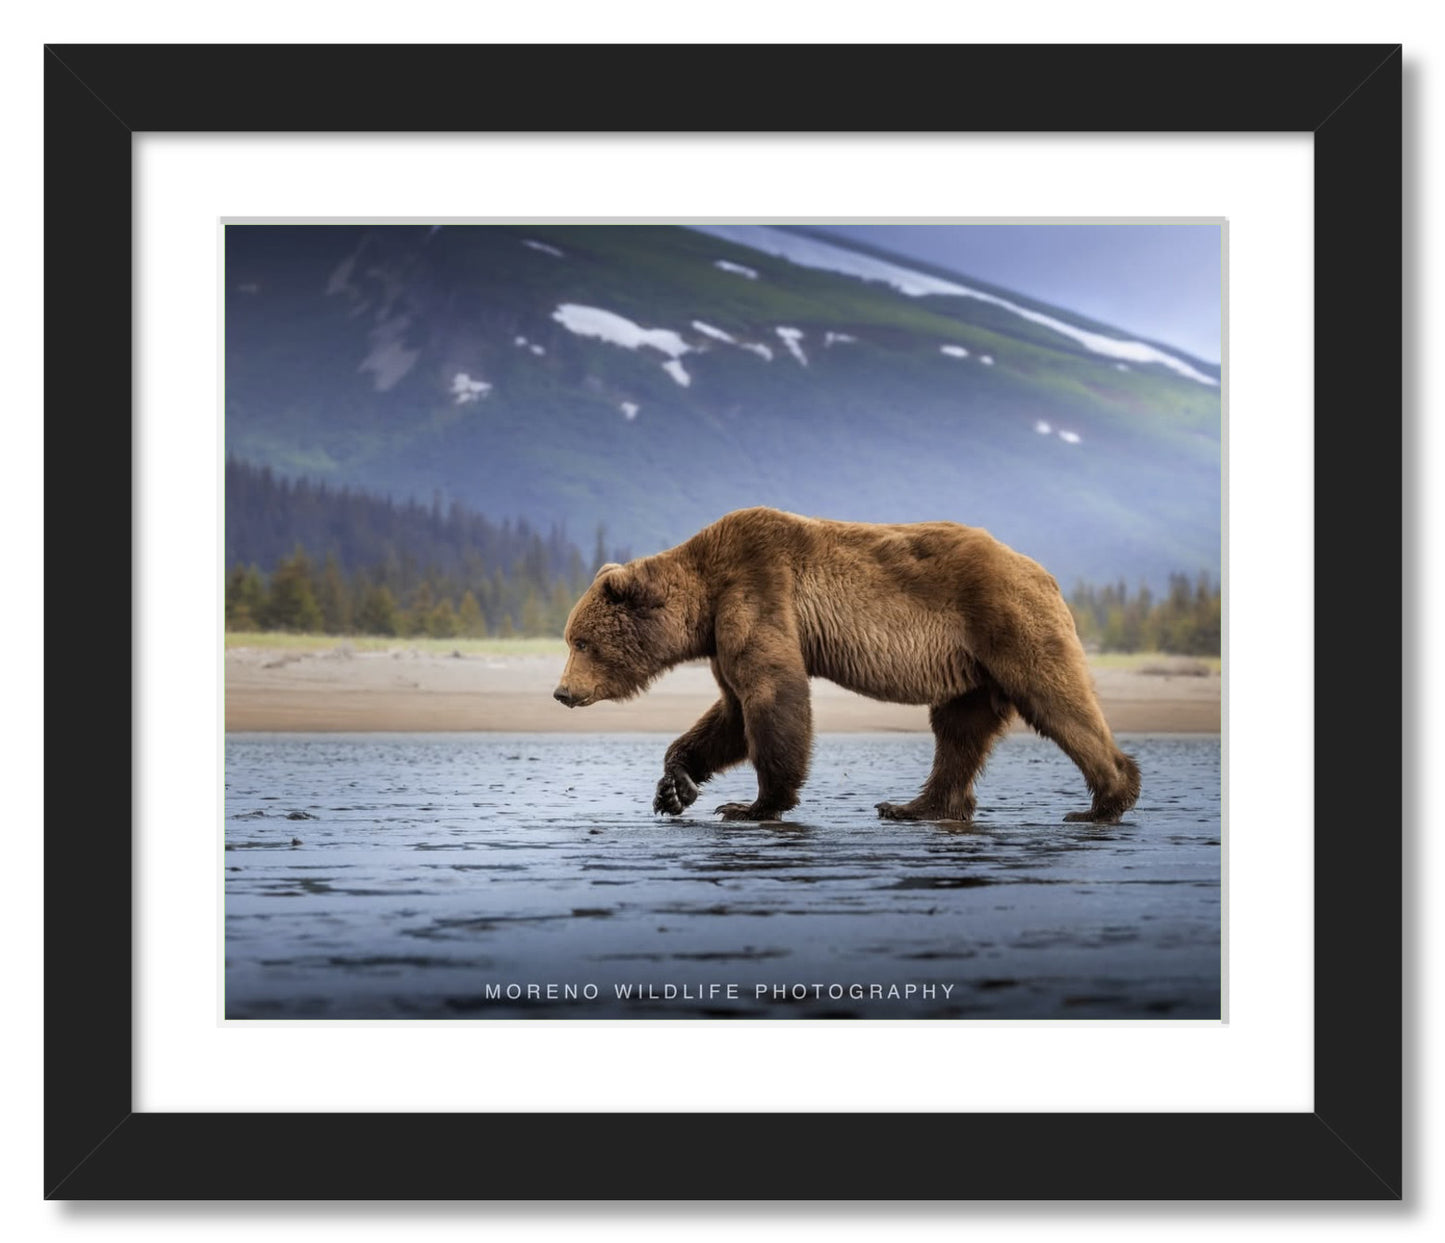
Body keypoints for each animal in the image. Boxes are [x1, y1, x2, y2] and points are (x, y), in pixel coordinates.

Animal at [553, 506, 1140, 825]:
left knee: (1055, 699)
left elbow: (771, 695)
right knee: (958, 731)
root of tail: (1044, 572)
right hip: (971, 667)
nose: (561, 693)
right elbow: (731, 712)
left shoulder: (757, 588)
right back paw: (914, 806)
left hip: (1006, 622)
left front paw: (753, 804)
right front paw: (675, 787)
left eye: (581, 641)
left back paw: (1106, 800)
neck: (704, 596)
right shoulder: (723, 632)